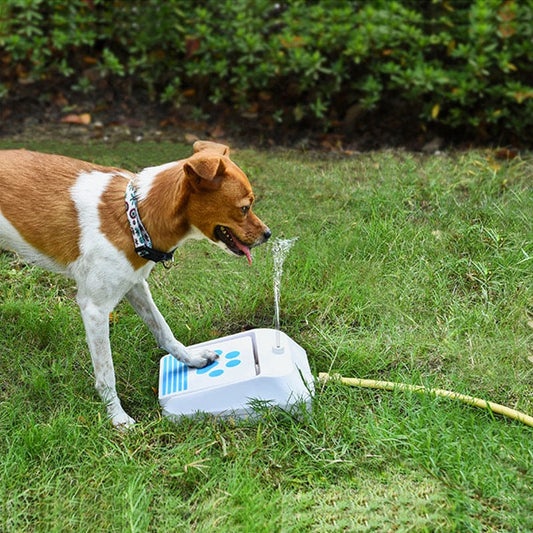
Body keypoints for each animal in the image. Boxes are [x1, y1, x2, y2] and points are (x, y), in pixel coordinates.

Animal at [0, 139, 272, 426]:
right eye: (245, 207)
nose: (268, 234)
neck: (134, 217)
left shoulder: (136, 285)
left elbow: (164, 331)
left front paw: (192, 360)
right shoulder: (94, 309)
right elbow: (106, 374)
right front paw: (117, 417)